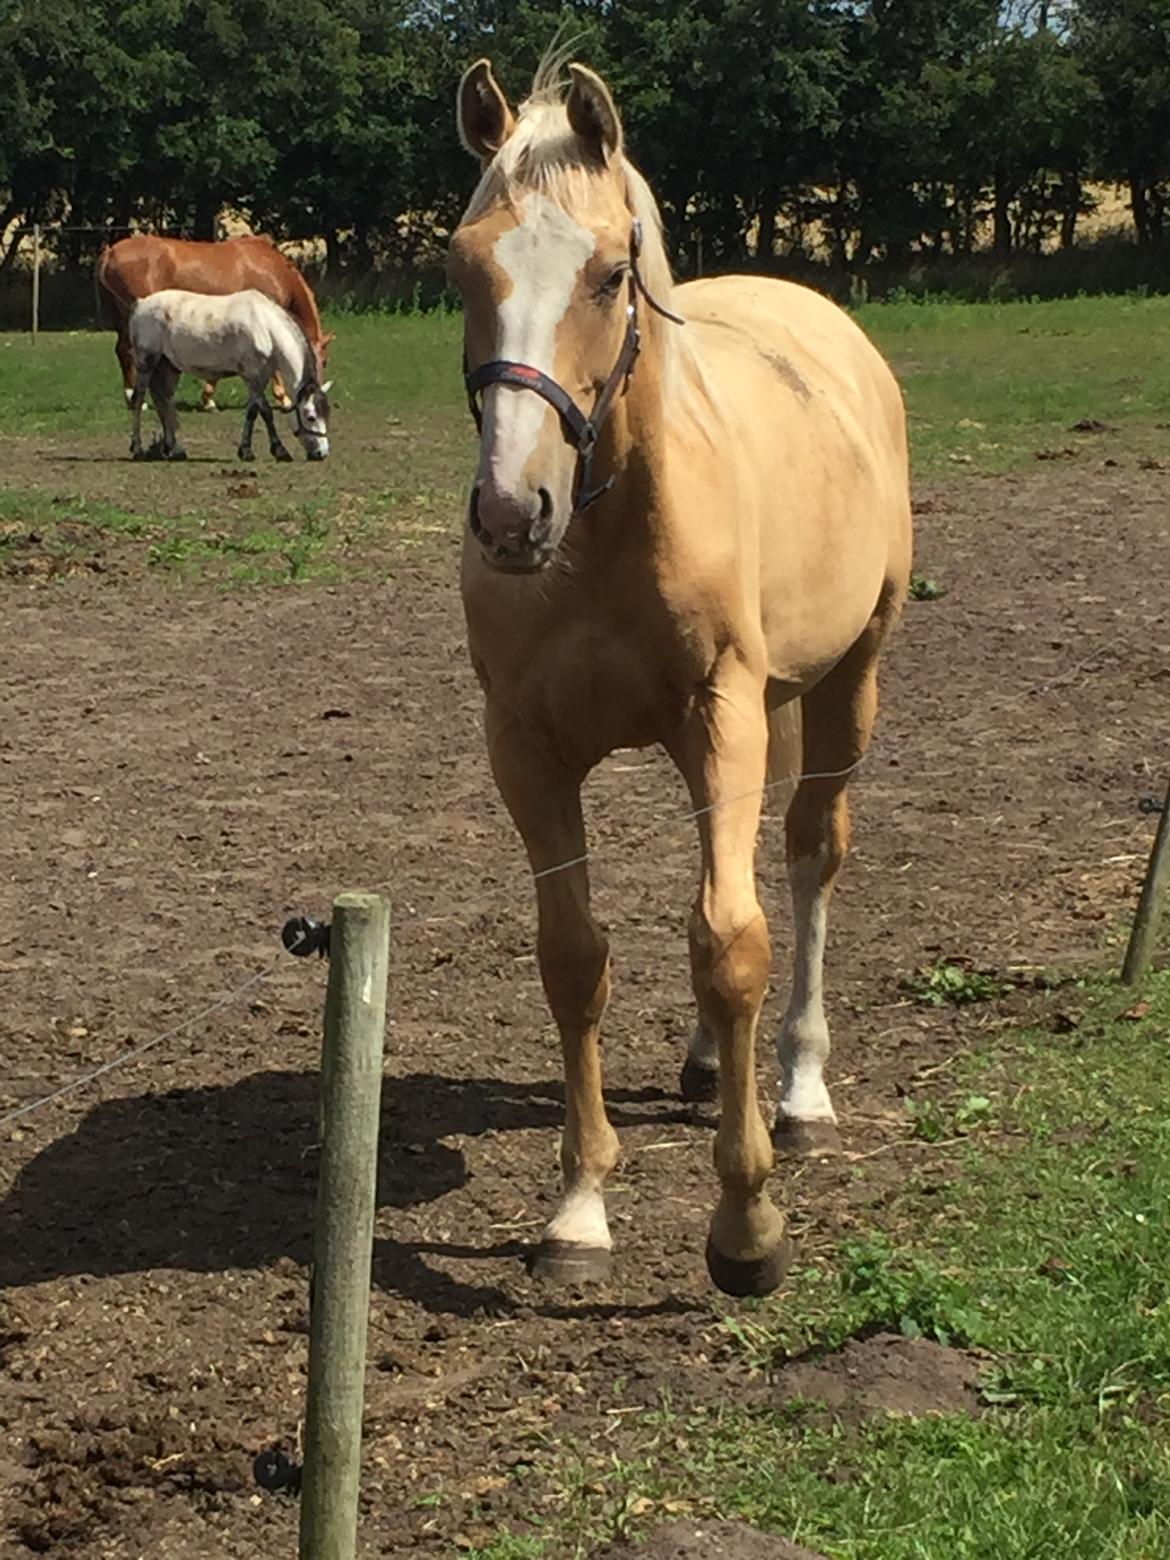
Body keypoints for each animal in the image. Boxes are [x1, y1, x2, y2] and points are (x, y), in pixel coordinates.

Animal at [95, 230, 333, 411]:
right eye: (323, 361)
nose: (317, 394)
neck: (272, 269)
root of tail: (110, 251)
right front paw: (283, 398)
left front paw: (208, 398)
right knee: (129, 353)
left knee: (122, 351)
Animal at [126, 291, 332, 461]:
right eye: (310, 416)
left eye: (326, 414)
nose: (322, 453)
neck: (265, 326)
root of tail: (141, 303)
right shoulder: (253, 375)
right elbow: (265, 411)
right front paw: (279, 450)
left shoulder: (259, 378)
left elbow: (252, 411)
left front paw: (246, 450)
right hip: (147, 362)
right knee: (139, 400)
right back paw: (137, 448)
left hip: (168, 366)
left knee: (165, 401)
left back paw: (174, 449)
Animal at [449, 54, 917, 1297]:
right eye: (463, 264)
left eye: (611, 273)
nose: (512, 513)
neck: (607, 529)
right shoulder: (529, 748)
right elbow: (576, 957)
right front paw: (577, 1207)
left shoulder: (721, 714)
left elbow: (735, 943)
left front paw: (747, 1224)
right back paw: (713, 1063)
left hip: (848, 682)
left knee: (806, 860)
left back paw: (799, 1088)